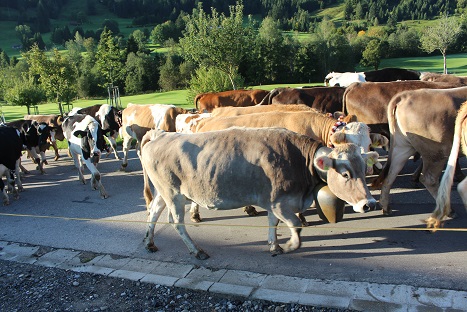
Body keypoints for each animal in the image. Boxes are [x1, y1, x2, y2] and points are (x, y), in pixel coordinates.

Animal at [374, 86, 467, 216]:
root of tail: (406, 95)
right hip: (436, 152)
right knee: (429, 179)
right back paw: (448, 210)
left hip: (402, 147)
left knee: (391, 173)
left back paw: (385, 206)